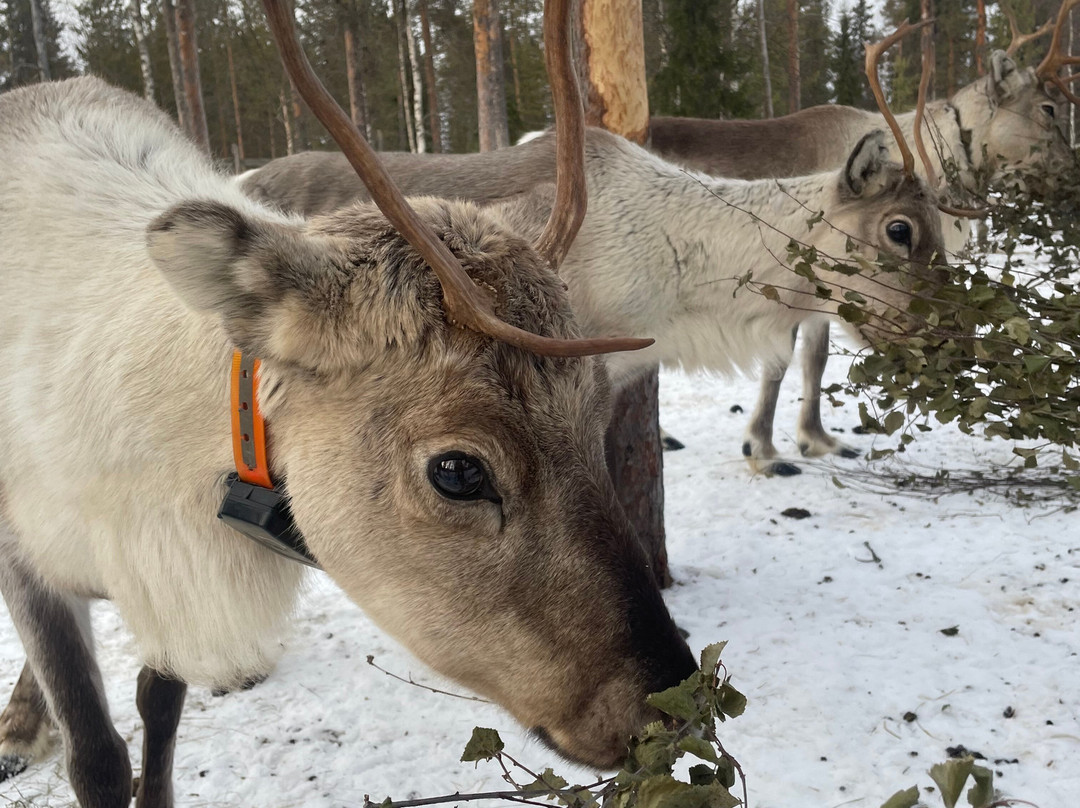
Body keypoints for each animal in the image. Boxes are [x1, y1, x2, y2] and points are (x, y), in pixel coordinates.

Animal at [0, 0, 705, 804]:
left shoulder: (173, 591)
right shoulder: (29, 560)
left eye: (597, 421)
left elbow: (158, 707)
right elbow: (97, 757)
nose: (672, 708)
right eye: (457, 470)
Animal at [649, 9, 1078, 474]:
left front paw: (816, 439)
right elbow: (780, 365)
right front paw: (762, 449)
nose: (1073, 173)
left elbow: (815, 363)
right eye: (1049, 108)